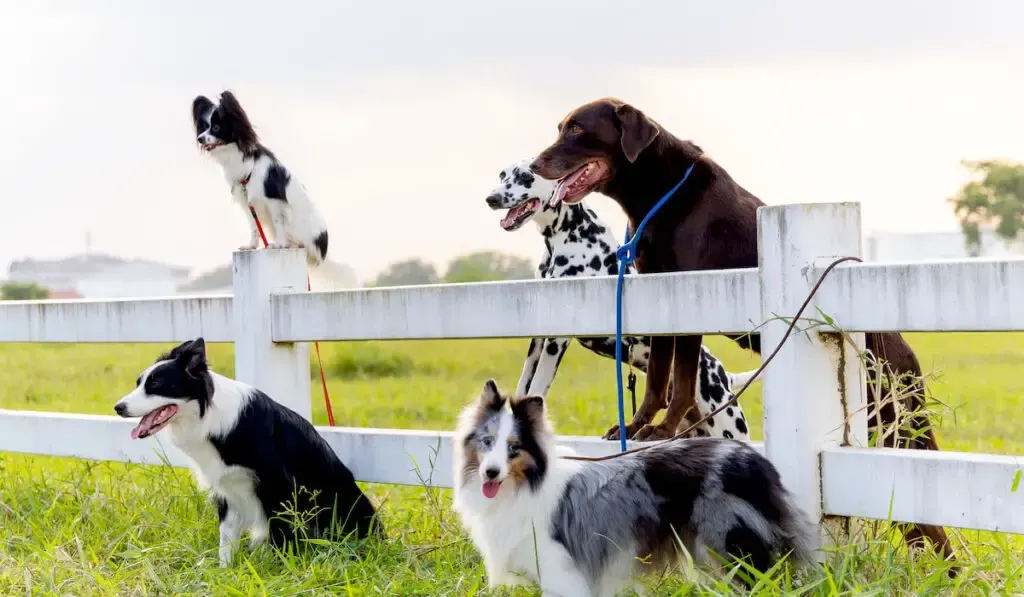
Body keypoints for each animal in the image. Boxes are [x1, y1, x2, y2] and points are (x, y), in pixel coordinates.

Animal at [115, 337, 380, 569]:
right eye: (138, 383)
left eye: (155, 384)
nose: (118, 407)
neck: (209, 417)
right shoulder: (226, 489)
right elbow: (226, 539)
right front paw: (225, 572)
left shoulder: (277, 485)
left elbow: (280, 533)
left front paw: (281, 569)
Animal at [193, 89, 329, 266]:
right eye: (204, 127)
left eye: (216, 127)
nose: (200, 138)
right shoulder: (248, 202)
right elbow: (254, 226)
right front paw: (251, 246)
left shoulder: (273, 199)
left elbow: (278, 222)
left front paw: (279, 244)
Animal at [452, 380, 819, 593]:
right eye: (486, 441)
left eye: (514, 447)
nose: (490, 473)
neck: (525, 484)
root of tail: (756, 460)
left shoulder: (561, 567)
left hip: (731, 542)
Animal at [487, 158, 761, 444]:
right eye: (502, 175)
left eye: (526, 175)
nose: (491, 198)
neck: (567, 235)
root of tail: (723, 375)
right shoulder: (538, 340)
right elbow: (524, 385)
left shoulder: (557, 340)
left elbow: (539, 386)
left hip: (730, 428)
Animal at [532, 96, 954, 565]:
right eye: (560, 127)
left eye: (576, 129)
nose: (534, 164)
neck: (655, 192)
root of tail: (910, 360)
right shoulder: (659, 298)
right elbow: (657, 381)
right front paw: (637, 426)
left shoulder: (690, 301)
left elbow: (680, 384)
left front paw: (664, 431)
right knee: (921, 528)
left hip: (894, 424)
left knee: (928, 523)